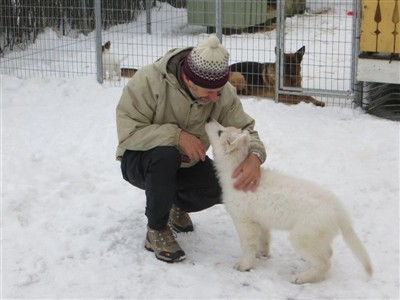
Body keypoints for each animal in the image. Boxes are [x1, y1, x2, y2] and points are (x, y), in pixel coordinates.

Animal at [205, 119, 374, 284]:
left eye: (220, 131)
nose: (208, 119)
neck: (234, 170)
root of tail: (338, 209)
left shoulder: (244, 221)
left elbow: (247, 245)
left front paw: (245, 265)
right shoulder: (261, 220)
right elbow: (263, 239)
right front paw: (262, 255)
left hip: (303, 235)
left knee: (324, 263)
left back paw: (301, 278)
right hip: (317, 236)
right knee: (327, 253)